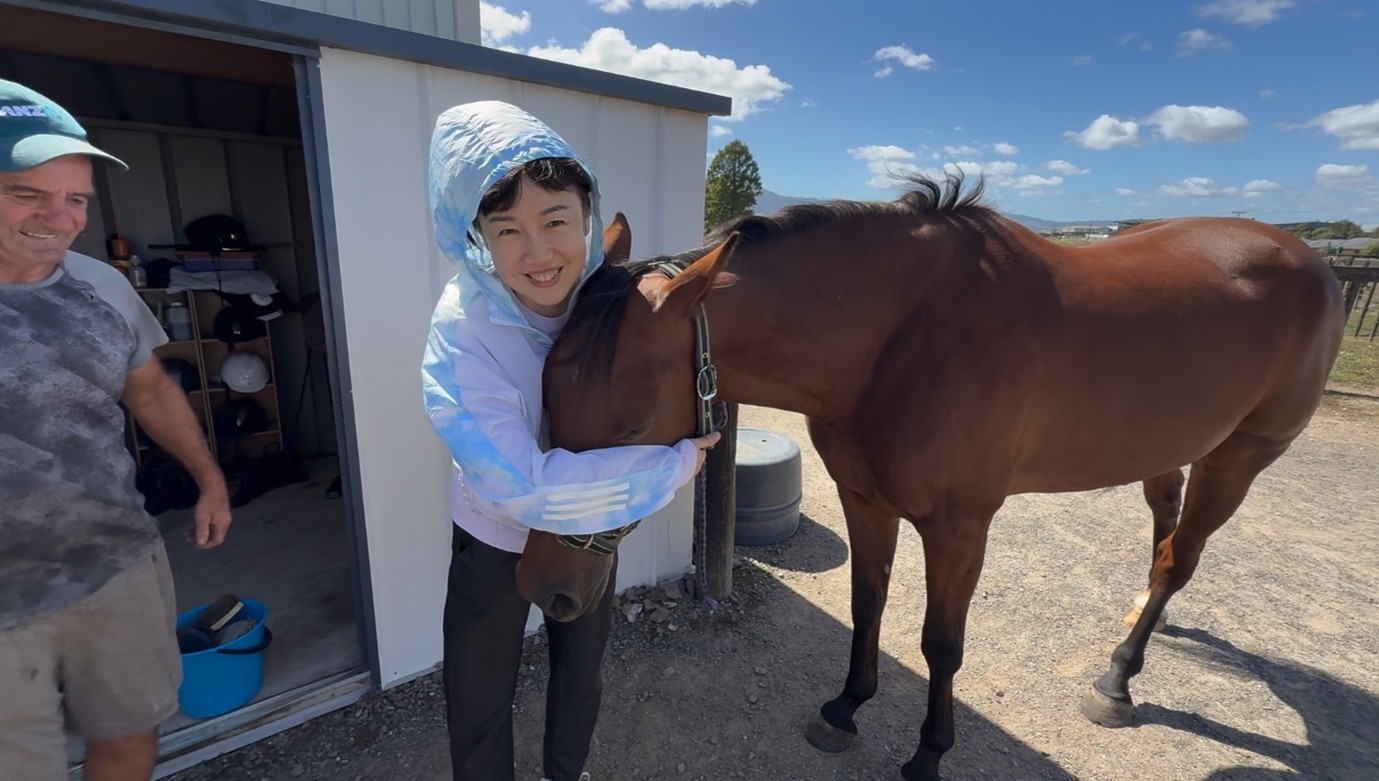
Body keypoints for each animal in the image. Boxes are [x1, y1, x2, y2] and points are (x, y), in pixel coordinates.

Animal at [516, 175, 1344, 781]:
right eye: (545, 402)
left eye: (629, 430)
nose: (547, 591)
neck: (901, 338)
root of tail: (1308, 261)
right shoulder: (864, 499)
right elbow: (868, 604)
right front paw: (845, 707)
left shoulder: (958, 528)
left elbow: (940, 643)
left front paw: (927, 752)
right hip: (1166, 445)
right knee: (1163, 525)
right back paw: (1145, 618)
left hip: (1238, 457)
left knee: (1179, 557)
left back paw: (1117, 678)